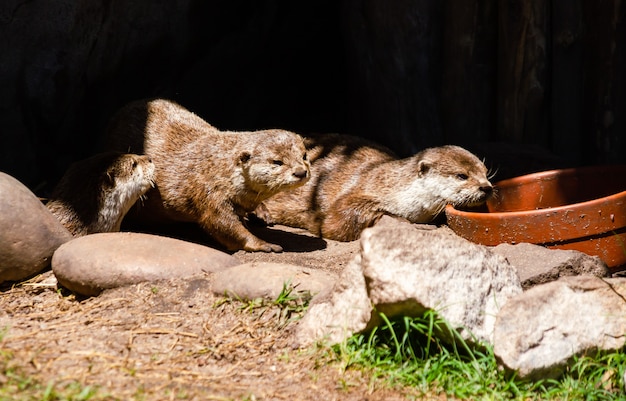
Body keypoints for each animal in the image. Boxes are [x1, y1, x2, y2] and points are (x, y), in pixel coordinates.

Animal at [105, 98, 310, 252]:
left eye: (304, 156)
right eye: (277, 162)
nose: (301, 172)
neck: (221, 168)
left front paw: (261, 212)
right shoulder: (210, 192)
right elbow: (222, 224)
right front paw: (264, 244)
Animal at [256, 134, 490, 241]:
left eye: (485, 172)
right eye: (462, 176)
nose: (486, 188)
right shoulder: (364, 188)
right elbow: (337, 220)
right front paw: (412, 225)